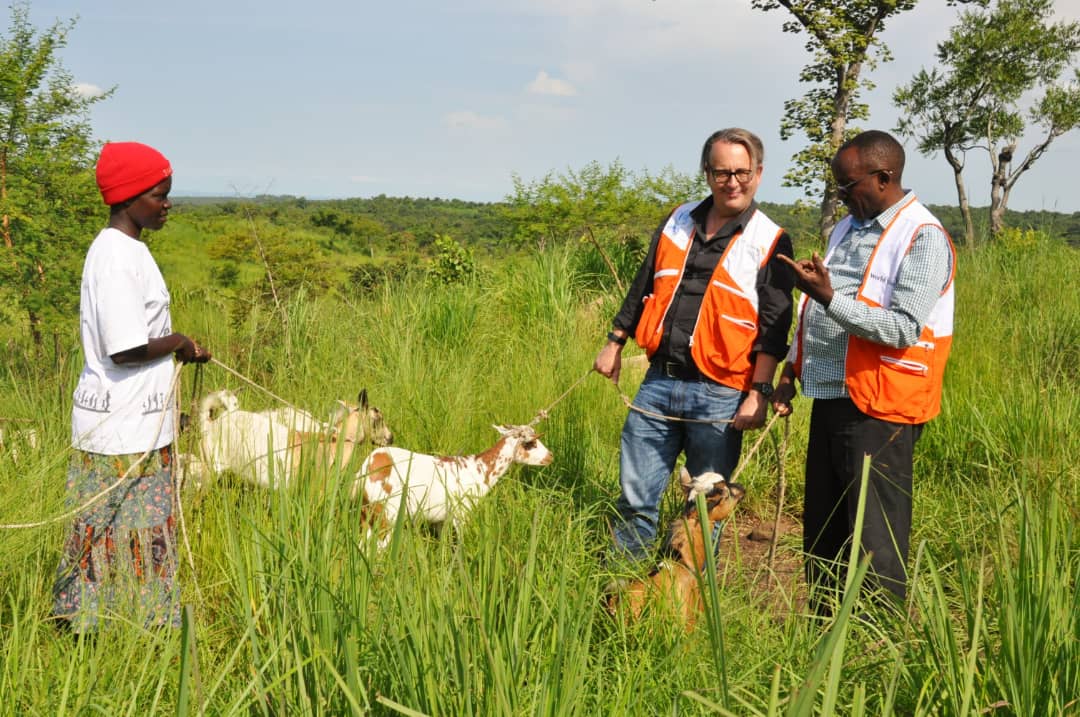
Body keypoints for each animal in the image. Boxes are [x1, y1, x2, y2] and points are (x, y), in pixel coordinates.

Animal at [349, 423, 552, 550]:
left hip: (366, 515)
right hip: (386, 514)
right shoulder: (462, 512)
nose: (550, 456)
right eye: (531, 443)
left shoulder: (441, 518)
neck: (479, 470)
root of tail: (364, 471)